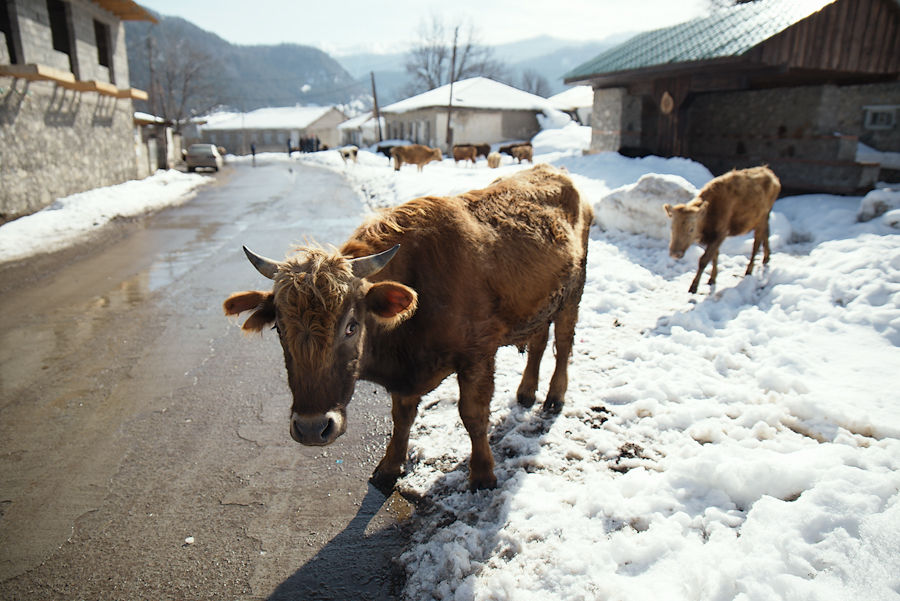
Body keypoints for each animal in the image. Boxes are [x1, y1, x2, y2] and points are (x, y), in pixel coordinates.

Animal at [223, 164, 593, 492]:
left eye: (351, 326)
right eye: (279, 330)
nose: (313, 428)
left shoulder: (477, 356)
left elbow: (473, 416)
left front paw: (483, 475)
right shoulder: (406, 377)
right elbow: (401, 418)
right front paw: (388, 468)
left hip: (574, 294)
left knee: (563, 342)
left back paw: (554, 397)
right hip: (544, 301)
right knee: (539, 341)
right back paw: (527, 391)